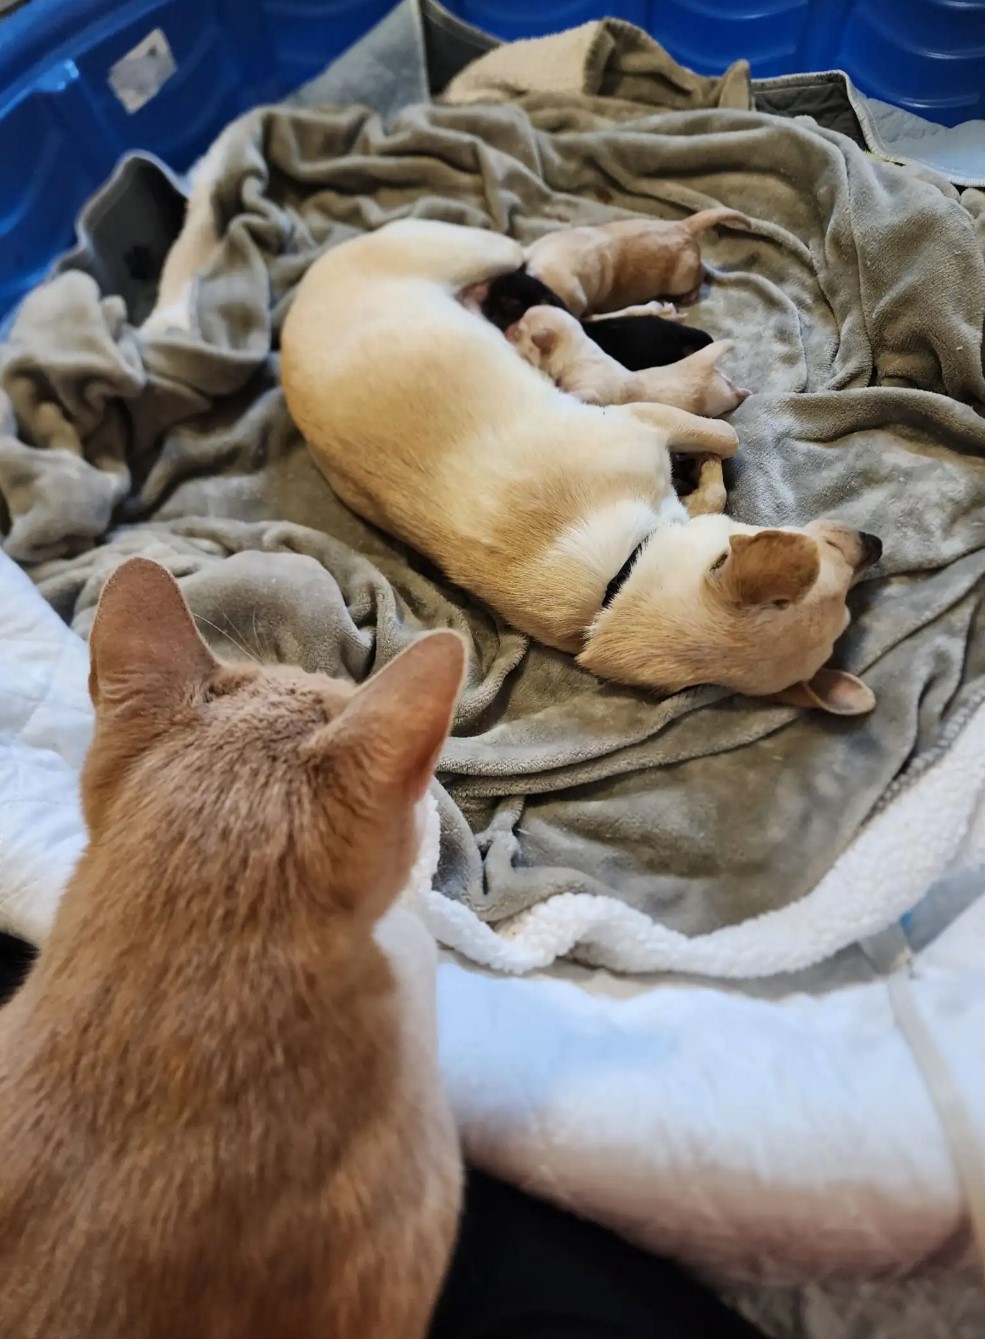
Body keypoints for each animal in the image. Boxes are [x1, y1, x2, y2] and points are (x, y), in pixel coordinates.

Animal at [508, 305, 744, 417]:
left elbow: (581, 394)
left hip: (717, 400)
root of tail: (705, 363)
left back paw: (742, 394)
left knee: (729, 397)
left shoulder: (593, 389)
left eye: (519, 332)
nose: (506, 329)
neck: (574, 352)